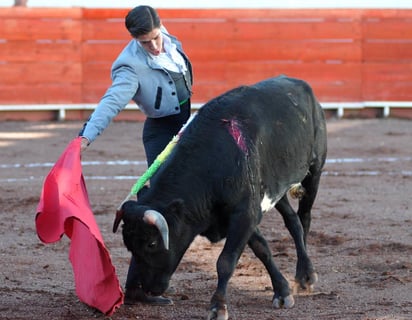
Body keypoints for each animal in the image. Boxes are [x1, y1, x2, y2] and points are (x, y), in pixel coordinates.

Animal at [114, 75, 326, 320]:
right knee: (293, 221)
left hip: (315, 169)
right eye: (129, 246)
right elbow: (262, 249)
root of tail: (300, 83)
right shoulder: (245, 213)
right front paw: (282, 291)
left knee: (305, 217)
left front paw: (218, 306)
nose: (147, 289)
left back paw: (305, 275)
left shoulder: (243, 214)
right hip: (273, 188)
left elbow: (226, 261)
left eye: (152, 243)